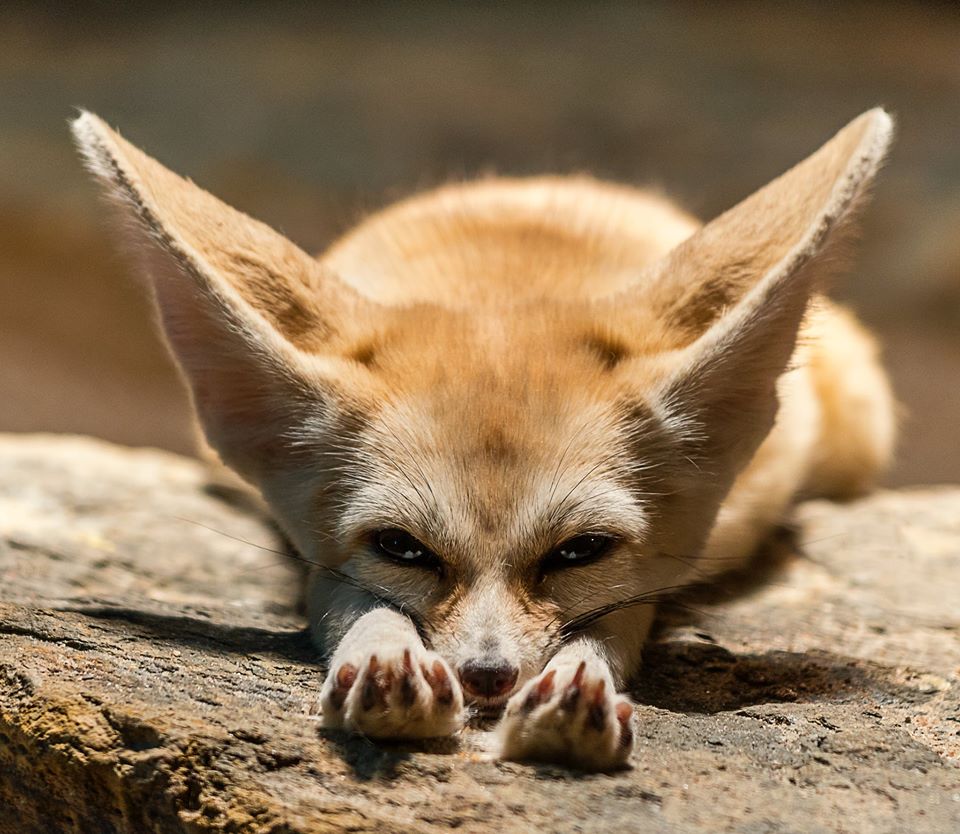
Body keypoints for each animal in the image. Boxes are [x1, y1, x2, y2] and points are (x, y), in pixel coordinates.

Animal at [73, 109, 892, 768]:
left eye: (580, 552)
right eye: (402, 548)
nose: (487, 677)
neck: (501, 286)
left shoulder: (657, 570)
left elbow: (618, 616)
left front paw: (575, 691)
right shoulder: (321, 555)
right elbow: (351, 600)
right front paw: (385, 659)